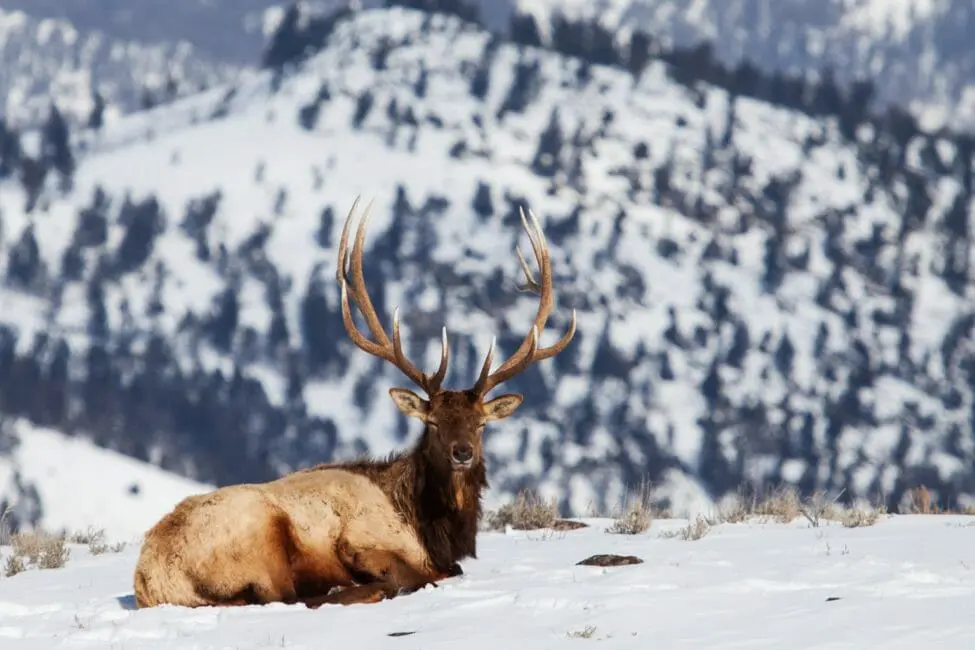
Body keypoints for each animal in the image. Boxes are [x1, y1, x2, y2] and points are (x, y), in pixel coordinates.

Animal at [132, 197, 577, 609]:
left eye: (481, 424)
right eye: (432, 422)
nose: (462, 453)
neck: (429, 528)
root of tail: (150, 579)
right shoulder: (361, 541)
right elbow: (427, 575)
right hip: (260, 532)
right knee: (288, 597)